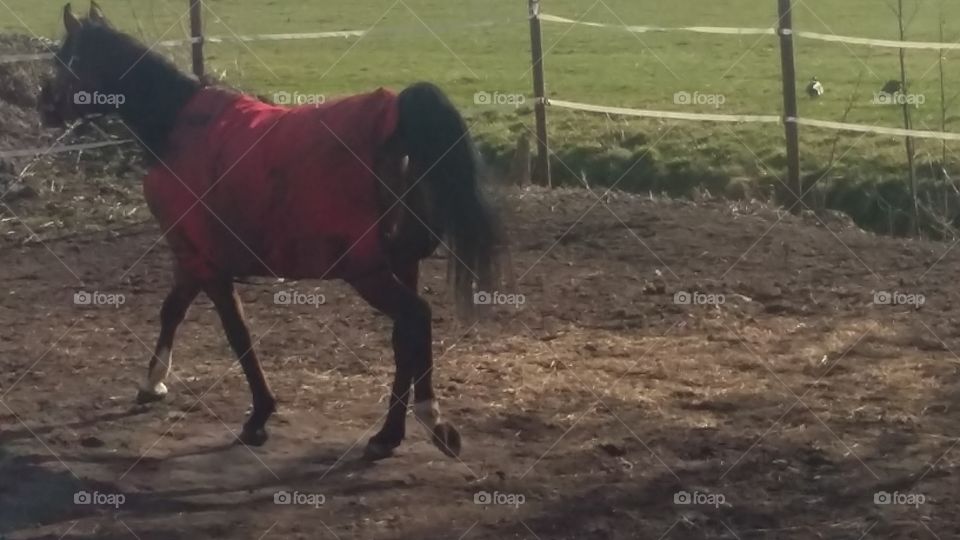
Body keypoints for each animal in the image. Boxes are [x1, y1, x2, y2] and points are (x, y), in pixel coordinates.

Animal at [41, 2, 503, 460]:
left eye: (65, 59)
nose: (44, 109)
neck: (174, 124)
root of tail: (399, 120)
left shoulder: (207, 265)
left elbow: (236, 333)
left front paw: (259, 415)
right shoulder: (191, 258)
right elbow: (172, 311)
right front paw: (152, 384)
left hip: (368, 271)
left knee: (415, 319)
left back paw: (432, 421)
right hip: (401, 263)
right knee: (404, 338)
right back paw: (388, 434)